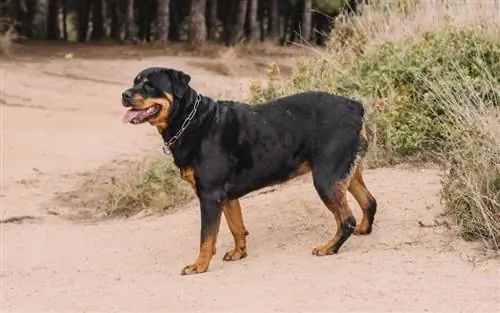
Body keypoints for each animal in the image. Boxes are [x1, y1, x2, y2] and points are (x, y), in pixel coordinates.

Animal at [121, 65, 376, 272]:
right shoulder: (226, 196)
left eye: (149, 85)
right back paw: (363, 229)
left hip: (325, 177)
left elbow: (206, 236)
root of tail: (355, 106)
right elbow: (236, 226)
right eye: (135, 82)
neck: (189, 121)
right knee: (369, 202)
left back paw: (329, 247)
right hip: (344, 173)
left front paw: (199, 265)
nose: (124, 94)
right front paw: (239, 253)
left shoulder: (210, 195)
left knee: (346, 219)